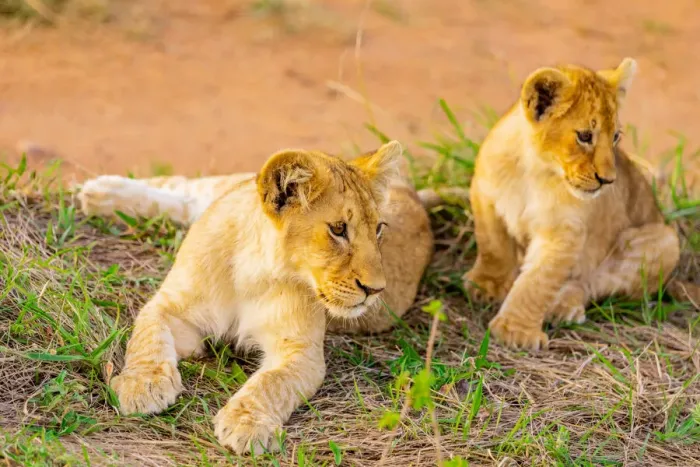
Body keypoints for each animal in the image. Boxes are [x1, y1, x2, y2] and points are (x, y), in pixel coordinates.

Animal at [77, 141, 460, 454]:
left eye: (380, 229)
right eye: (338, 229)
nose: (376, 290)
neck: (254, 270)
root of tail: (412, 192)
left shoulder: (301, 351)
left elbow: (270, 384)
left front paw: (246, 425)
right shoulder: (170, 307)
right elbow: (147, 337)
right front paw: (141, 386)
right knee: (187, 188)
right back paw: (99, 192)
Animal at [463, 57, 698, 351]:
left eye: (615, 137)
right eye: (585, 136)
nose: (608, 180)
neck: (535, 170)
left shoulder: (564, 231)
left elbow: (538, 281)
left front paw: (515, 332)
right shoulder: (485, 195)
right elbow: (493, 247)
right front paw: (486, 287)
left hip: (664, 241)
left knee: (590, 282)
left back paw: (563, 307)